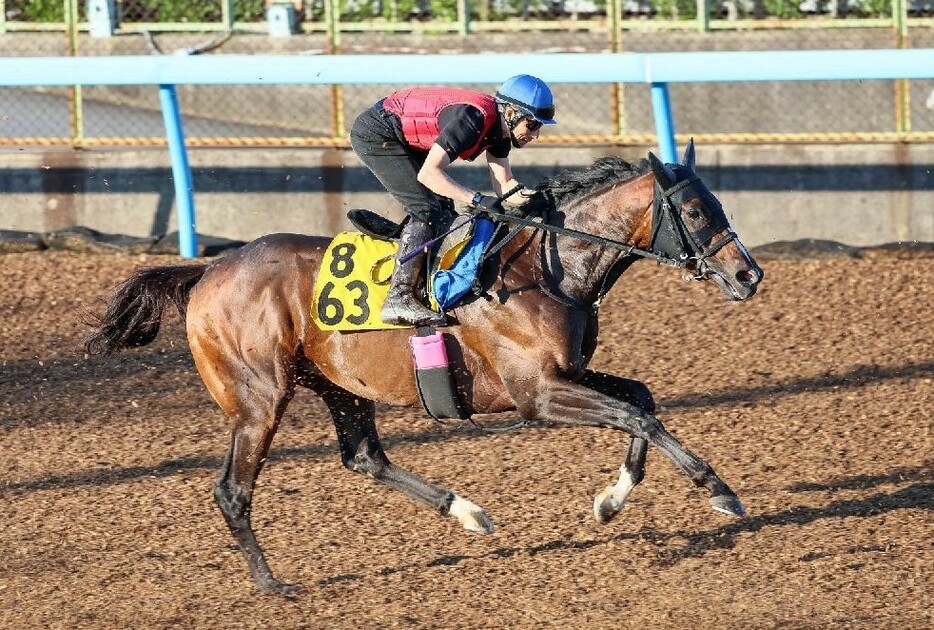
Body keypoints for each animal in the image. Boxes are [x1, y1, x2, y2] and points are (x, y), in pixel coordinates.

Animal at [84, 141, 764, 596]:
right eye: (697, 213)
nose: (749, 274)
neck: (546, 266)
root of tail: (209, 270)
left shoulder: (566, 375)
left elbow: (641, 401)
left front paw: (611, 501)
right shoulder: (537, 395)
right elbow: (636, 416)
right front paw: (717, 491)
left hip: (339, 385)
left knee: (364, 457)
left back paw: (467, 511)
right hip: (259, 399)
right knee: (233, 489)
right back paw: (272, 583)